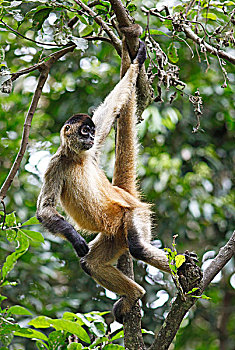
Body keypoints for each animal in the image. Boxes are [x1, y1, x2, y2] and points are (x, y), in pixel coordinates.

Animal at [36, 41, 169, 322]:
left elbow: (111, 109)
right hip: (114, 235)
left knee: (138, 247)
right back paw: (135, 294)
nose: (90, 137)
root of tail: (124, 193)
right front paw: (75, 238)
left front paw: (137, 62)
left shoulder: (92, 152)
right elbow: (45, 209)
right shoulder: (56, 163)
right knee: (91, 264)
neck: (76, 159)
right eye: (84, 131)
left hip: (133, 215)